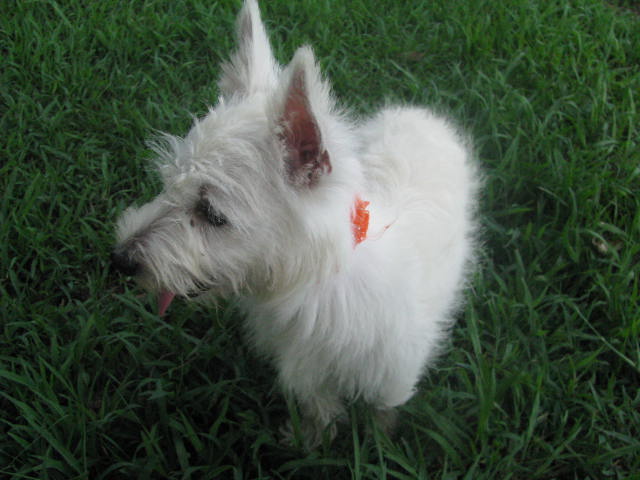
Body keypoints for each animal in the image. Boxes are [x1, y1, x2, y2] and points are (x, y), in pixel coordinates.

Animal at [112, 0, 478, 448]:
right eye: (167, 184)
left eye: (212, 214)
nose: (120, 260)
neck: (315, 283)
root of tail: (422, 113)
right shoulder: (307, 370)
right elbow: (319, 404)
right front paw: (312, 441)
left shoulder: (393, 372)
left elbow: (383, 410)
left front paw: (380, 446)